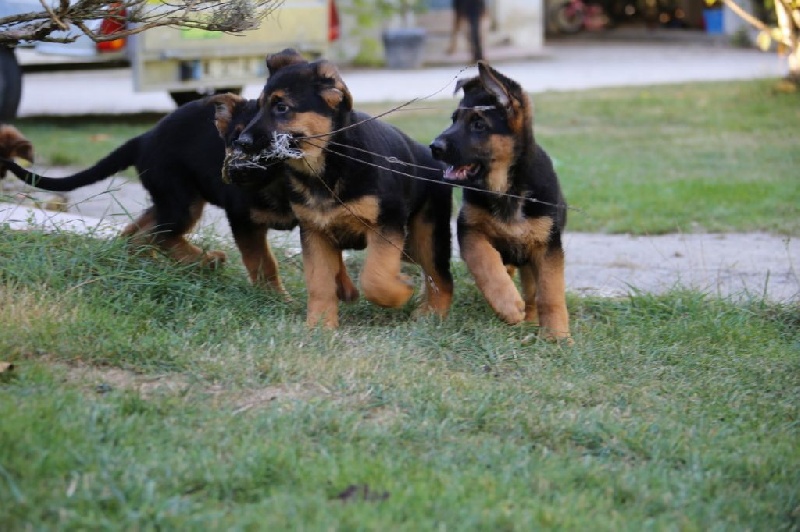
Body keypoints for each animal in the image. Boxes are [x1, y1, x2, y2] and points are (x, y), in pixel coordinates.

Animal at [0, 97, 356, 302]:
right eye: (234, 140)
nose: (235, 170)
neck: (279, 180)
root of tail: (142, 138)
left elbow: (331, 258)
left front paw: (344, 288)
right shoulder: (242, 219)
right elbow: (262, 261)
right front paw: (275, 297)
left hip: (172, 199)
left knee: (137, 232)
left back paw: (143, 263)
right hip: (182, 200)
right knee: (161, 236)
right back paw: (205, 261)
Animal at [230, 48, 456, 328]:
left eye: (282, 108)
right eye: (259, 107)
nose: (241, 143)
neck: (325, 169)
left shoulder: (386, 224)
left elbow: (375, 277)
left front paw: (400, 292)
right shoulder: (314, 231)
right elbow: (319, 282)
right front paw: (320, 326)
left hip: (427, 234)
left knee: (441, 277)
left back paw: (432, 315)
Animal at [432, 59, 568, 340]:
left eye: (479, 125)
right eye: (454, 120)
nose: (434, 147)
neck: (507, 189)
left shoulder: (547, 245)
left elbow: (550, 291)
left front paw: (558, 336)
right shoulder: (469, 230)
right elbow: (486, 263)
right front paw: (507, 304)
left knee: (532, 293)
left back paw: (531, 321)